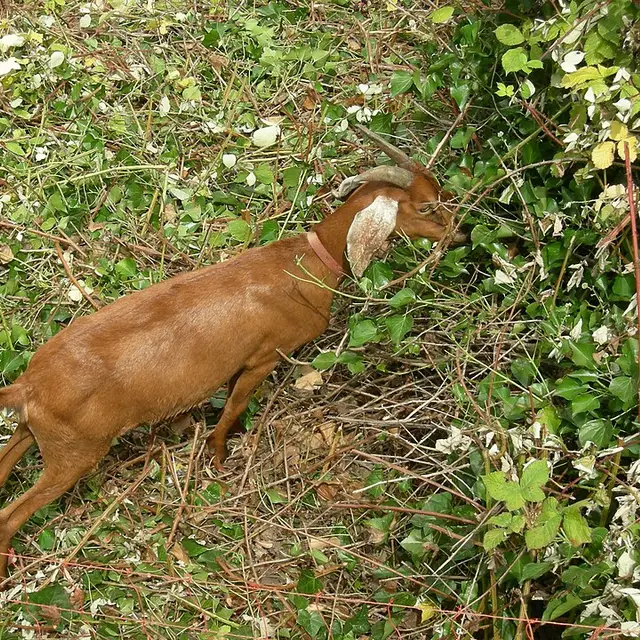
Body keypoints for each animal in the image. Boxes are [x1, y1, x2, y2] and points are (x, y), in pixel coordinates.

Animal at [0, 126, 465, 578]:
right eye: (427, 206)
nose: (459, 233)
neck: (304, 264)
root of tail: (29, 386)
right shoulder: (266, 355)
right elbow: (234, 405)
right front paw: (219, 454)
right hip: (74, 454)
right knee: (10, 516)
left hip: (34, 433)